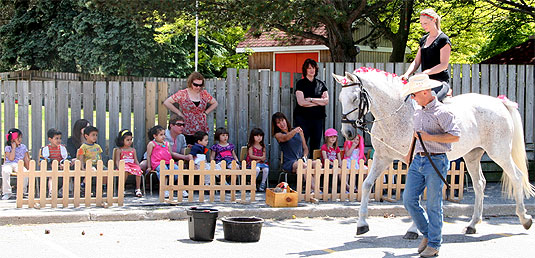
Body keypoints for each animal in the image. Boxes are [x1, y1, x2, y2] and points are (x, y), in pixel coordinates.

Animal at [332, 68, 532, 238]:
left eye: (355, 98)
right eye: (341, 99)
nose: (347, 132)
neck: (397, 113)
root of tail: (499, 102)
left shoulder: (415, 160)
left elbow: (417, 195)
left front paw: (413, 229)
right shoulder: (382, 158)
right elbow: (366, 185)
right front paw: (361, 224)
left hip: (499, 152)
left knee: (516, 177)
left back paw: (524, 219)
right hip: (472, 155)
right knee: (479, 184)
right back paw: (472, 224)